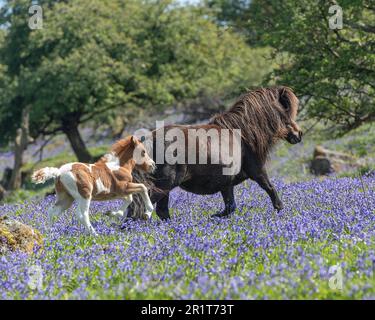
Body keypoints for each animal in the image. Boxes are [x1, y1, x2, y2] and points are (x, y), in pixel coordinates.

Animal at [129, 86, 302, 219]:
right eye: (286, 110)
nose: (299, 134)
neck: (243, 134)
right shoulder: (258, 172)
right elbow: (271, 191)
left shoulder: (227, 184)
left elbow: (230, 207)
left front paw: (214, 217)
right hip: (164, 186)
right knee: (140, 209)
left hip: (164, 188)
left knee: (158, 211)